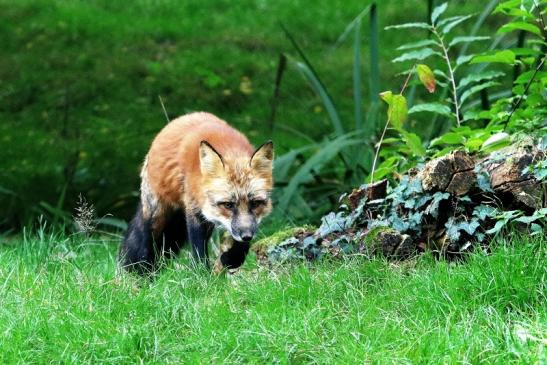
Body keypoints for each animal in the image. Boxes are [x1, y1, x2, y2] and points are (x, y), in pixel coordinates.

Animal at [120, 111, 274, 272]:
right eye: (228, 205)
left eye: (255, 203)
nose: (247, 235)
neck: (231, 151)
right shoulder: (194, 210)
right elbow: (198, 249)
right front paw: (202, 273)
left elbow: (241, 246)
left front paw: (232, 258)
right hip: (156, 215)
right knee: (145, 241)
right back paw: (142, 272)